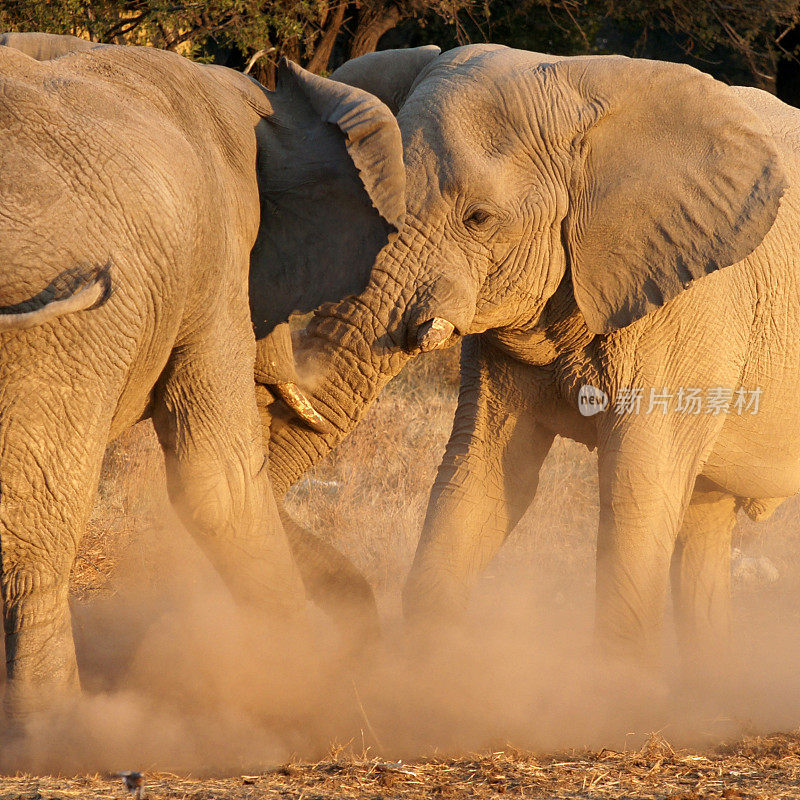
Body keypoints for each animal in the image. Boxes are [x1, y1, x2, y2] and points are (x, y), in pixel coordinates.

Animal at [0, 34, 404, 716]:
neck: (260, 100)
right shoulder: (218, 259)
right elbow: (220, 480)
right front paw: (298, 689)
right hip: (65, 332)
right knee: (36, 525)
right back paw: (52, 721)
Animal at [266, 42, 796, 668]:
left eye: (478, 219)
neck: (576, 82)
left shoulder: (695, 305)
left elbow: (636, 484)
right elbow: (483, 473)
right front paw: (430, 673)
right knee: (704, 519)